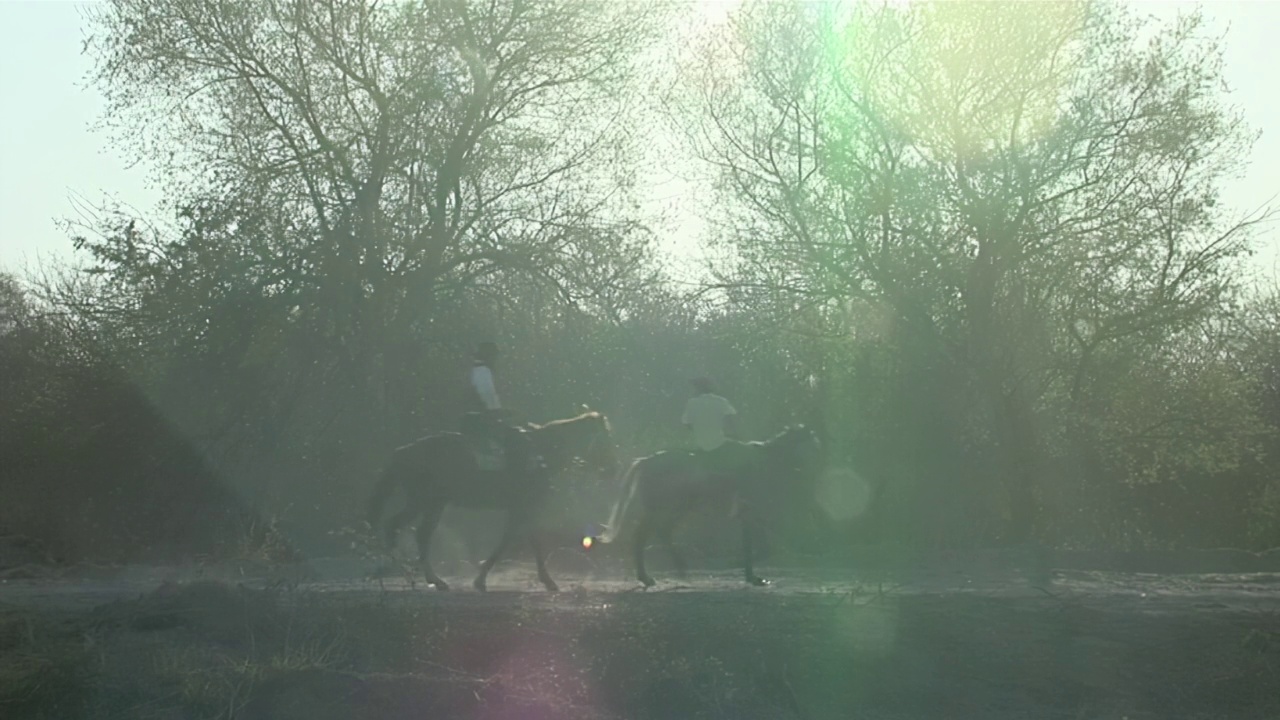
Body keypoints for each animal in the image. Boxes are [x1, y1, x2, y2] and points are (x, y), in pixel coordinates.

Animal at [366, 409, 619, 589]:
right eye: (605, 440)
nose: (612, 470)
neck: (541, 453)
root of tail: (405, 451)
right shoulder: (525, 508)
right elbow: (522, 541)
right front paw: (546, 581)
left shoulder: (521, 509)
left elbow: (519, 540)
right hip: (425, 502)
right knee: (404, 529)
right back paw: (416, 575)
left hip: (431, 504)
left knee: (412, 532)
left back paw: (419, 575)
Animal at [588, 422, 819, 586]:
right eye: (811, 442)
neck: (763, 462)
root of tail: (646, 461)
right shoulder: (750, 511)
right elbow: (758, 547)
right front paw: (745, 571)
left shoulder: (748, 514)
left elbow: (756, 545)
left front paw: (751, 575)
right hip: (664, 509)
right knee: (643, 536)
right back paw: (648, 576)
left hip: (678, 509)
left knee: (663, 532)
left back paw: (678, 569)